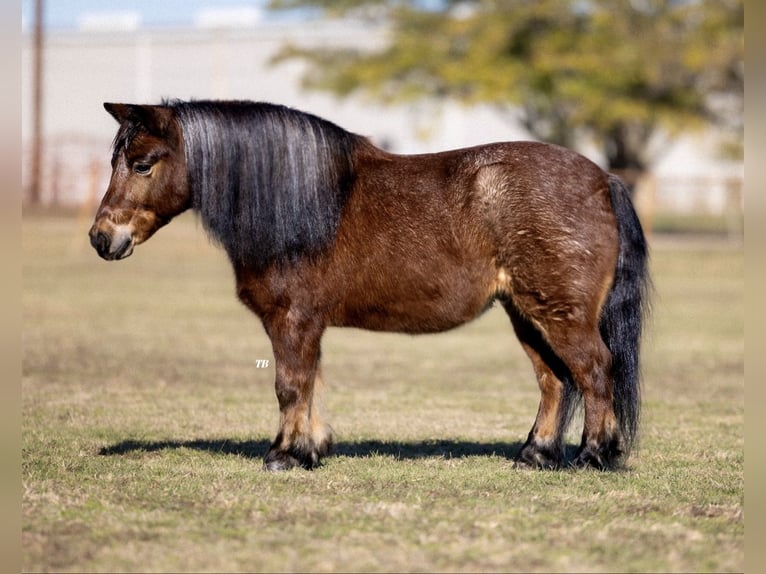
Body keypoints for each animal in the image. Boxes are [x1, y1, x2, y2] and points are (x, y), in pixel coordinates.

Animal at [91, 101, 656, 474]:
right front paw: (312, 448)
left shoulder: (292, 318)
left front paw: (283, 455)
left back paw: (592, 456)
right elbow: (310, 382)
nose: (101, 238)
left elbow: (290, 384)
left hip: (560, 314)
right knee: (554, 381)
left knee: (594, 371)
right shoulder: (307, 324)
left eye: (142, 163)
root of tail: (602, 179)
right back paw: (535, 455)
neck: (304, 204)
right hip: (525, 313)